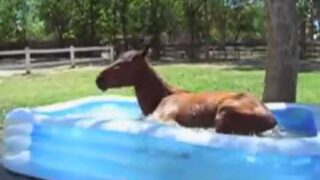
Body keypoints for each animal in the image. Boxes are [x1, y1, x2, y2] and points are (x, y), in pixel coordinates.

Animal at [95, 46, 278, 135]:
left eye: (123, 64)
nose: (99, 80)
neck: (158, 98)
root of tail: (272, 120)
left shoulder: (163, 116)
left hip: (223, 114)